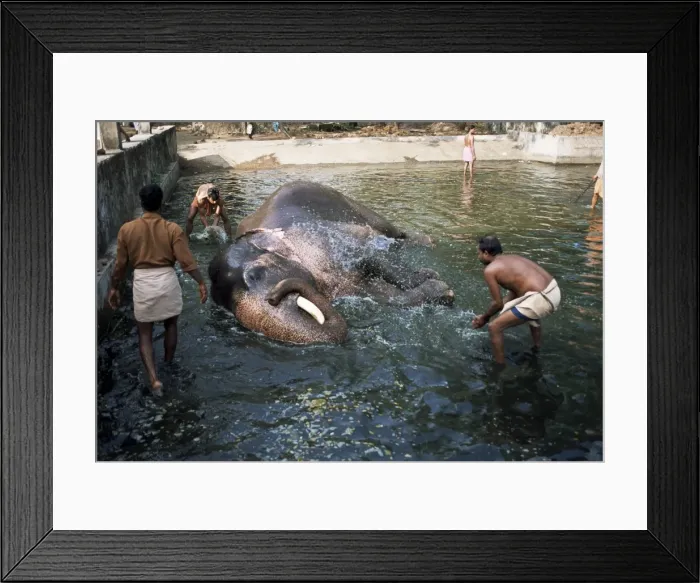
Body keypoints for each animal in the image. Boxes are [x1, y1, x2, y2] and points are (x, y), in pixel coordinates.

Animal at [207, 181, 455, 344]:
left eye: (256, 274)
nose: (273, 297)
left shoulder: (326, 241)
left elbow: (373, 258)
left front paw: (433, 279)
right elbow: (382, 295)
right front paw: (440, 289)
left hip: (352, 204)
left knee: (392, 232)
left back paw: (428, 242)